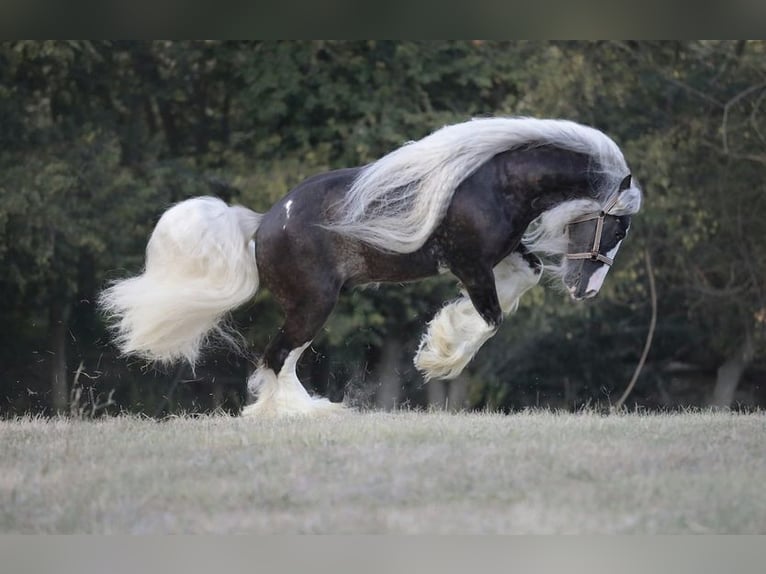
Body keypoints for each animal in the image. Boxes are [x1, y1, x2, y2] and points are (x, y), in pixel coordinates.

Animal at [100, 117, 640, 418]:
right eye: (617, 228)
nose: (587, 291)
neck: (493, 182)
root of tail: (261, 224)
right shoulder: (469, 262)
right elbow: (490, 318)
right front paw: (438, 357)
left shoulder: (503, 255)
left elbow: (519, 284)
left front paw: (442, 334)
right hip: (315, 303)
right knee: (277, 357)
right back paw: (306, 413)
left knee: (280, 358)